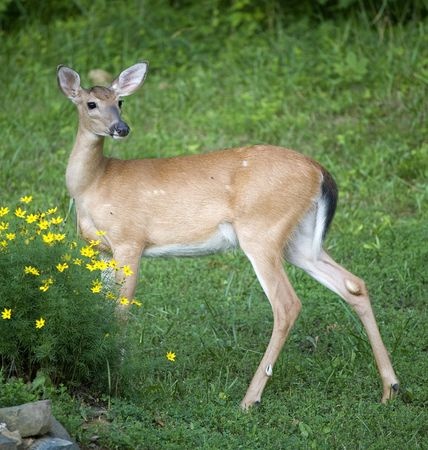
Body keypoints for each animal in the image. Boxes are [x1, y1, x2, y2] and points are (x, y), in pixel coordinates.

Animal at [56, 61, 398, 410]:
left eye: (120, 101)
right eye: (91, 103)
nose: (121, 128)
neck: (93, 185)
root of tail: (320, 171)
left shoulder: (130, 240)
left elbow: (121, 311)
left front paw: (116, 377)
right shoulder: (102, 249)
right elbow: (102, 306)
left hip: (261, 230)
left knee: (287, 304)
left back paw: (249, 399)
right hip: (299, 240)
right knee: (352, 283)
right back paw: (390, 388)